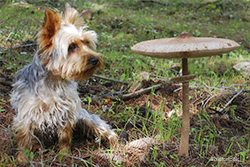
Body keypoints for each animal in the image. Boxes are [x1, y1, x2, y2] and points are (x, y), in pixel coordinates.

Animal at [10, 2, 117, 162]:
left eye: (87, 43)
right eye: (72, 46)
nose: (95, 59)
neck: (55, 80)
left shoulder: (67, 111)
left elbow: (65, 136)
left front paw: (64, 154)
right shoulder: (26, 114)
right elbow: (24, 138)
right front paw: (22, 159)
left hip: (85, 117)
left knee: (105, 129)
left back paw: (115, 143)